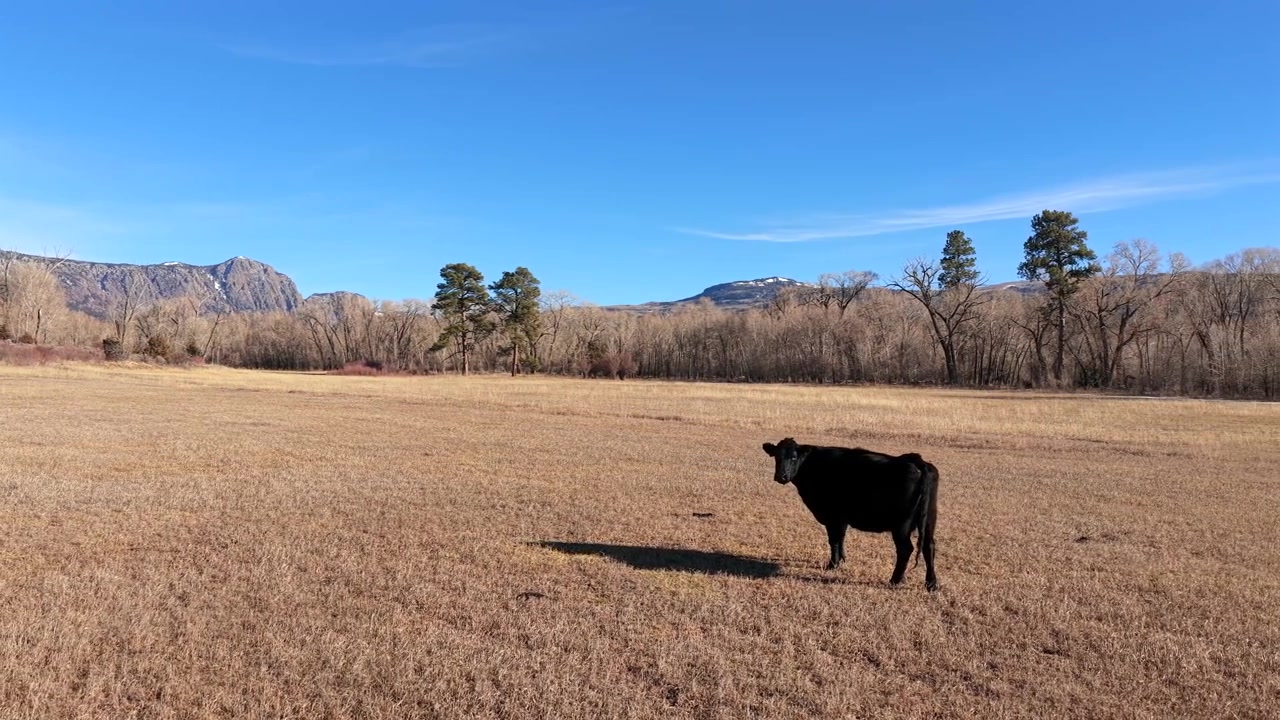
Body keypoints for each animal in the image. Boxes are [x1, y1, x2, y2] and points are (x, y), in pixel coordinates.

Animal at [762, 437, 939, 591]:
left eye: (793, 457)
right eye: (776, 456)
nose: (781, 476)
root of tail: (917, 460)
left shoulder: (832, 516)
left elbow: (833, 540)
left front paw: (832, 565)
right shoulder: (841, 519)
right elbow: (841, 538)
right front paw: (842, 559)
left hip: (901, 526)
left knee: (905, 549)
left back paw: (895, 580)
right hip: (929, 519)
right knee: (928, 546)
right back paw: (931, 584)